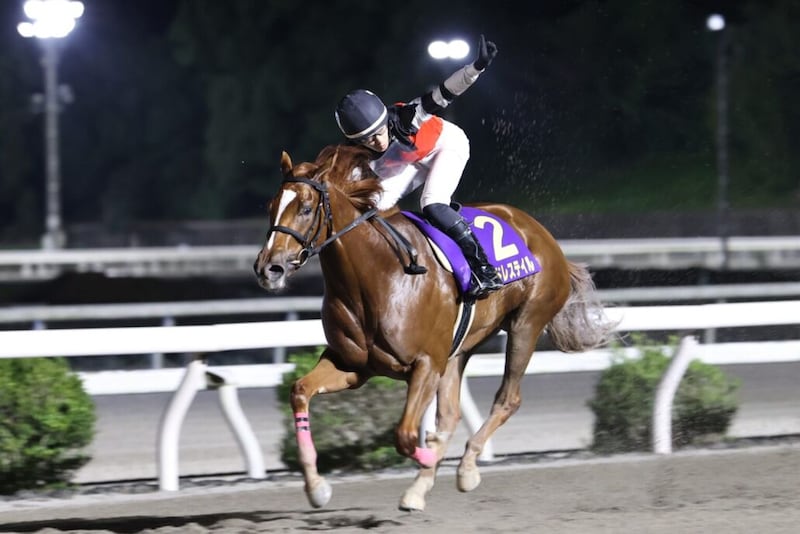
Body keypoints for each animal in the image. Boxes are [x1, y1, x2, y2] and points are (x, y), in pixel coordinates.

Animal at [253, 144, 616, 511]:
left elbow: (405, 435)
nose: (269, 268)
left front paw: (429, 459)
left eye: (306, 208)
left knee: (507, 399)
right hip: (460, 349)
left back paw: (464, 469)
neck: (375, 275)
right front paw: (317, 487)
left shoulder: (426, 364)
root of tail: (540, 233)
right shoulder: (354, 366)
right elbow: (300, 391)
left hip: (525, 325)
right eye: (270, 206)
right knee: (451, 413)